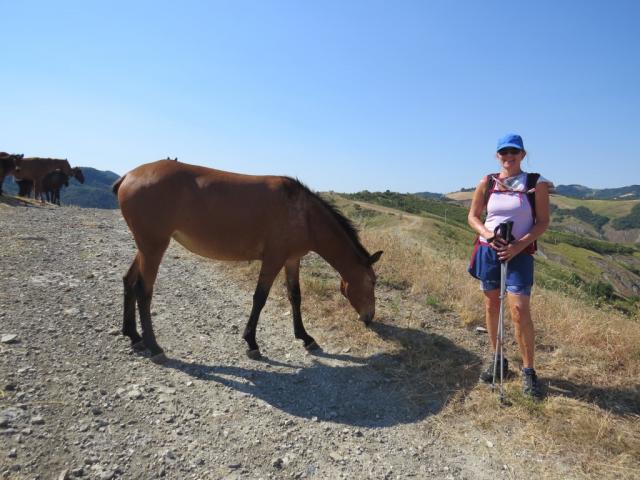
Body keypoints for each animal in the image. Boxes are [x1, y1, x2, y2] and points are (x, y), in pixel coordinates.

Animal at [114, 159, 384, 362]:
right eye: (372, 282)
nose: (369, 317)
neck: (303, 214)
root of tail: (128, 176)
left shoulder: (292, 260)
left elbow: (295, 297)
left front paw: (305, 337)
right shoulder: (273, 259)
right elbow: (260, 298)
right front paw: (252, 342)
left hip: (146, 246)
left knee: (129, 281)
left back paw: (134, 336)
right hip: (154, 246)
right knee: (143, 290)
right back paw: (153, 346)